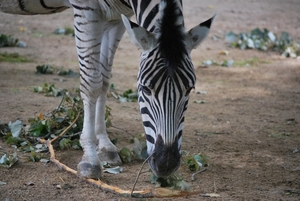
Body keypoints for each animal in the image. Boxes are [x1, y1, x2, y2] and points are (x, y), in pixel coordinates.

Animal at [0, 0, 213, 179]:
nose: (165, 165)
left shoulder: (115, 18)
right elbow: (92, 83)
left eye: (189, 89)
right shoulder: (85, 10)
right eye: (145, 89)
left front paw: (104, 146)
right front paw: (90, 159)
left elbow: (104, 80)